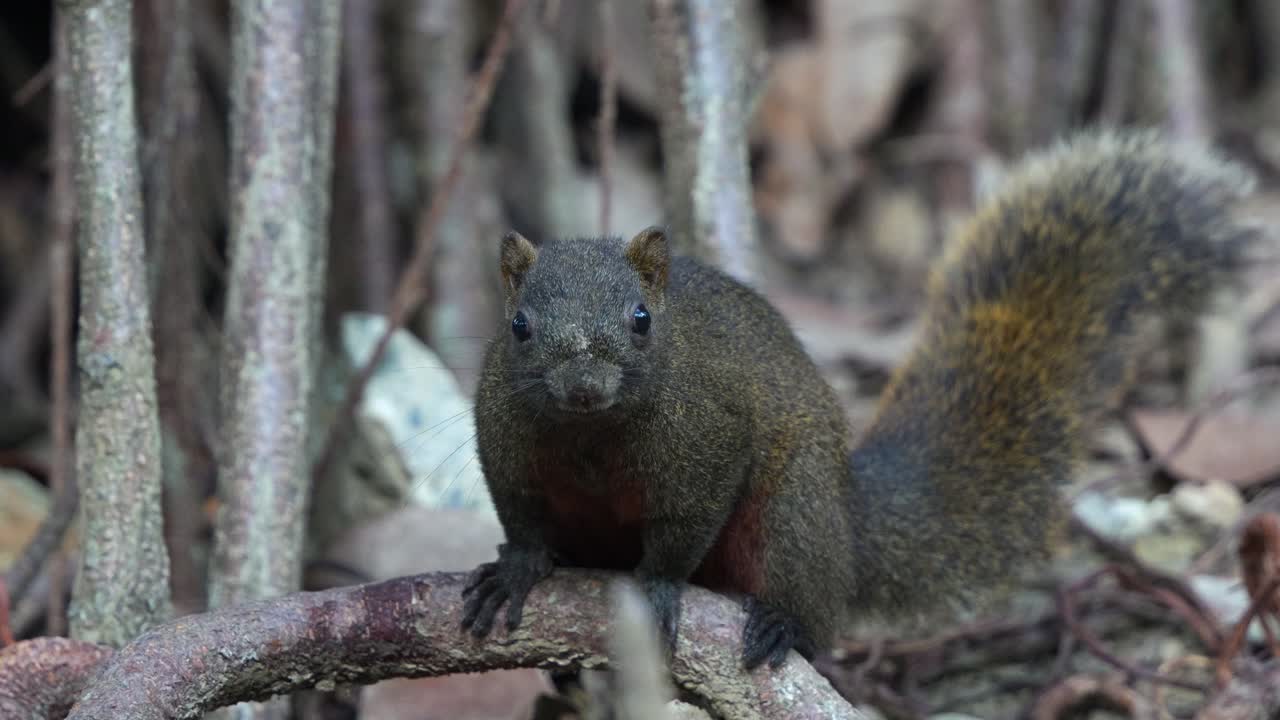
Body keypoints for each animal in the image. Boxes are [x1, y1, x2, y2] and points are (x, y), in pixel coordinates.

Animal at [460, 130, 1259, 670]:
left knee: (812, 607)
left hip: (797, 515)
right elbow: (521, 516)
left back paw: (785, 626)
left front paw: (655, 584)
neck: (589, 438)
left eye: (641, 319)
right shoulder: (503, 441)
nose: (583, 388)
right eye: (519, 325)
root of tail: (848, 517)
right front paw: (516, 570)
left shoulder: (709, 437)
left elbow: (684, 527)